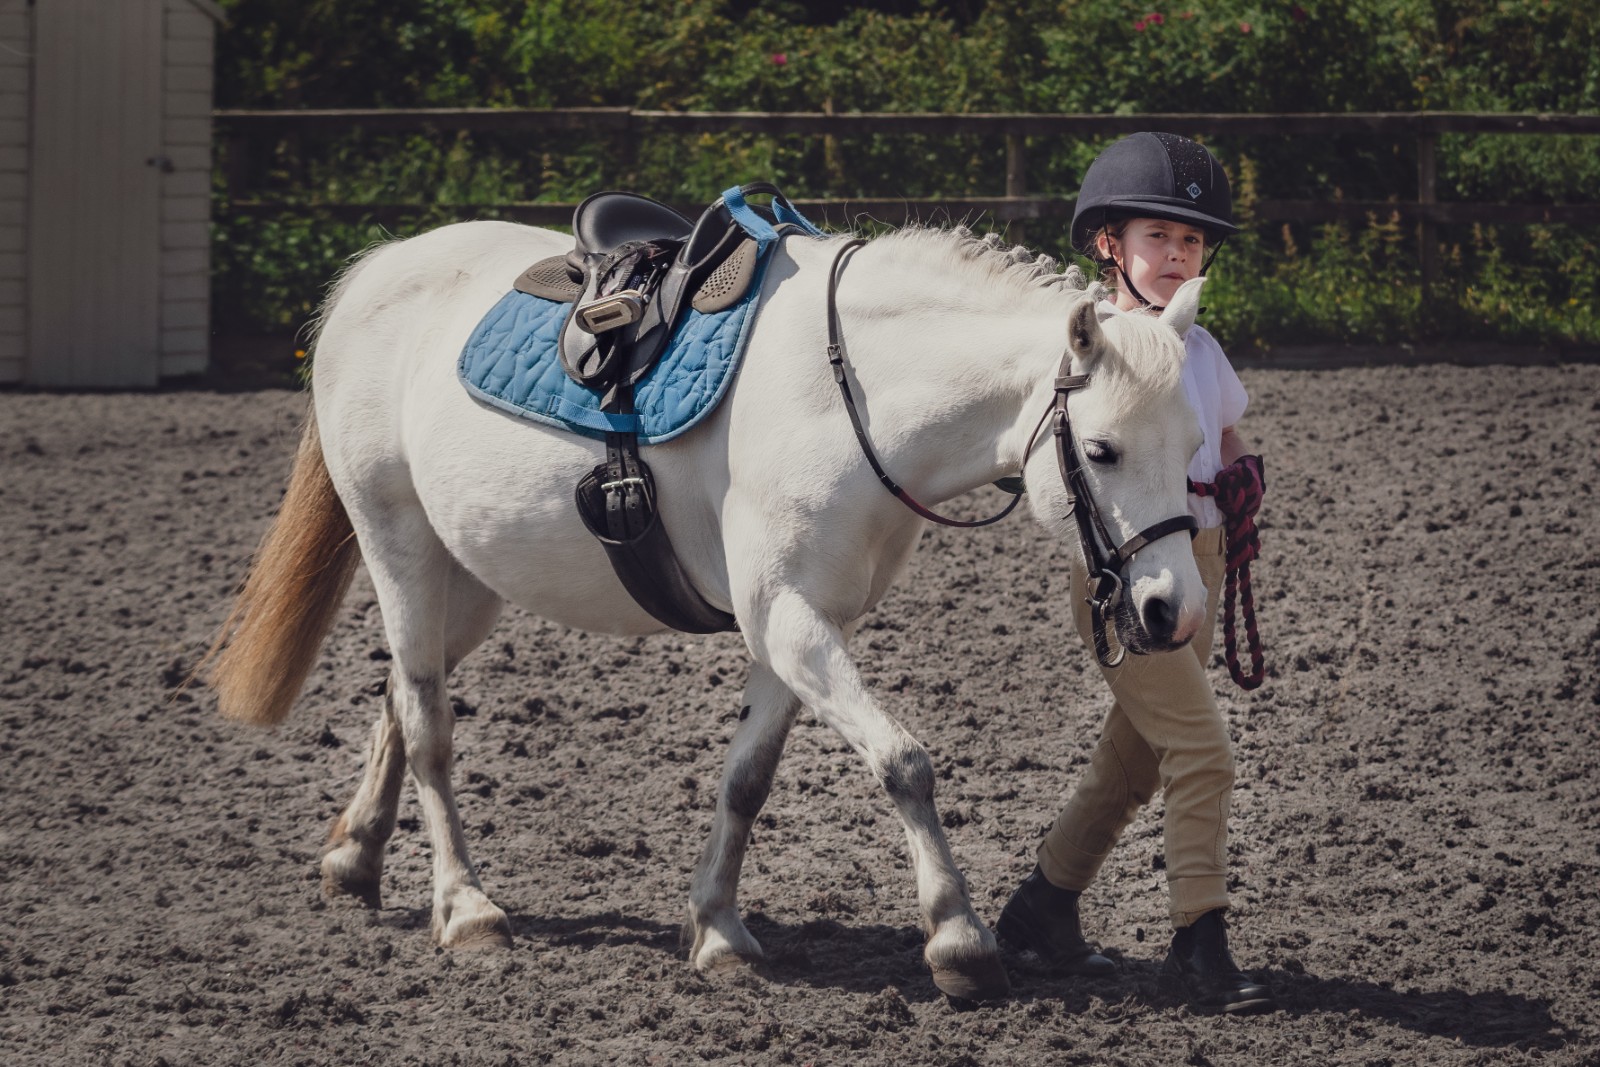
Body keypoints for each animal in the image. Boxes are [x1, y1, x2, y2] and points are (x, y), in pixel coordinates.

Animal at [209, 217, 1211, 1003]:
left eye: (1196, 440)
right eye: (1102, 449)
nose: (1173, 609)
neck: (849, 397)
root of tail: (381, 270)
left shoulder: (798, 627)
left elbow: (747, 780)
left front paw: (719, 930)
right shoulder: (790, 618)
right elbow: (904, 762)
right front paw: (959, 939)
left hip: (471, 579)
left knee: (399, 693)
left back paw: (355, 858)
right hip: (402, 550)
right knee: (427, 724)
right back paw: (465, 908)